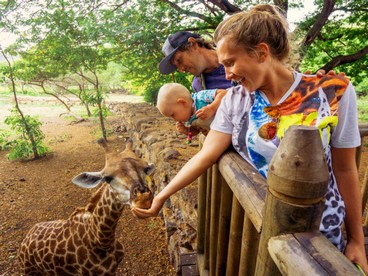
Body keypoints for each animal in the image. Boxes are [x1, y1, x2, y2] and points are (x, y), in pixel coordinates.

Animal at [17, 139, 154, 274]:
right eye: (107, 178)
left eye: (146, 169)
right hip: (28, 271)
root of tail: (25, 240)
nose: (143, 200)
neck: (102, 241)